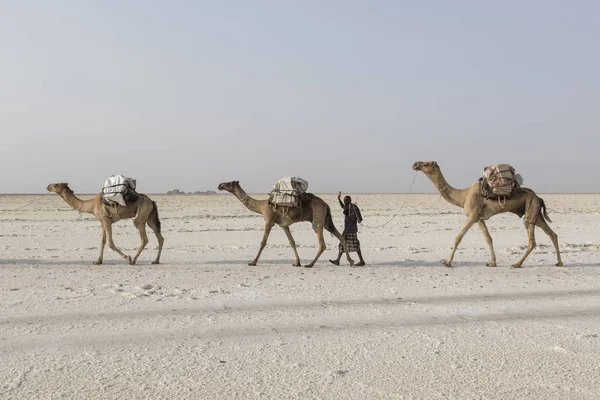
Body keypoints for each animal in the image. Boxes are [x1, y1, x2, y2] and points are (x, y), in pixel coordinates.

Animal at [218, 182, 354, 268]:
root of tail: (326, 204)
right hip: (326, 221)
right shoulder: (283, 225)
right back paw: (350, 261)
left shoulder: (269, 220)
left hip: (317, 220)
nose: (220, 185)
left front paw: (253, 262)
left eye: (229, 183)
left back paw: (310, 264)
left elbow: (263, 242)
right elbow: (292, 242)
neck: (261, 206)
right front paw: (297, 262)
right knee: (340, 236)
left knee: (322, 244)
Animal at [412, 161, 564, 268]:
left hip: (530, 211)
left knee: (532, 241)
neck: (463, 196)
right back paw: (559, 262)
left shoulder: (472, 215)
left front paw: (447, 262)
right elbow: (488, 238)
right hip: (536, 214)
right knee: (552, 234)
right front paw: (492, 263)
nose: (414, 164)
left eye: (426, 164)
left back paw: (517, 264)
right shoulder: (479, 218)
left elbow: (458, 237)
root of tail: (539, 198)